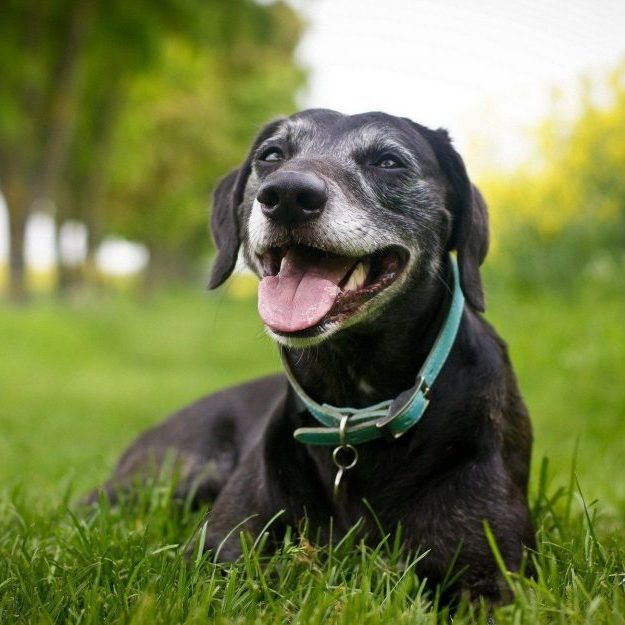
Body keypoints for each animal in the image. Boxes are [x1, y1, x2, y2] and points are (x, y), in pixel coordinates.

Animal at [90, 109, 532, 596]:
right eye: (271, 155)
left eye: (389, 161)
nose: (286, 195)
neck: (353, 402)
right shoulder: (212, 555)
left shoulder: (493, 575)